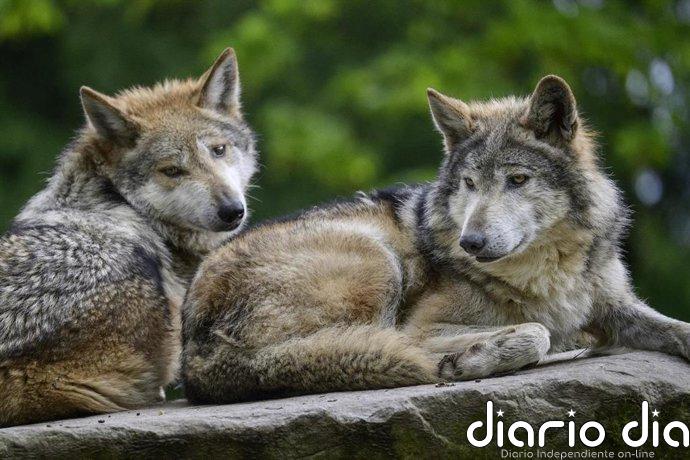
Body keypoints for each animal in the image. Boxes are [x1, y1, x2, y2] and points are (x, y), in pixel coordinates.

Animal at [182, 75, 690, 403]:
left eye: (517, 180)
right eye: (469, 183)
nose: (471, 243)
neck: (548, 273)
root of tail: (193, 354)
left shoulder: (614, 303)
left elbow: (675, 328)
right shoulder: (424, 325)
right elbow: (538, 330)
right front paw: (490, 352)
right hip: (377, 260)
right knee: (357, 348)